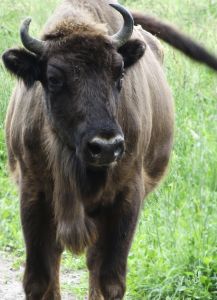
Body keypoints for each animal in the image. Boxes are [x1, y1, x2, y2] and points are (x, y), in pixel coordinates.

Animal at [2, 0, 217, 300]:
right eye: (53, 78)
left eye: (120, 72)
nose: (106, 147)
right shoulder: (33, 194)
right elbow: (39, 278)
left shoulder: (127, 197)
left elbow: (110, 279)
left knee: (94, 262)